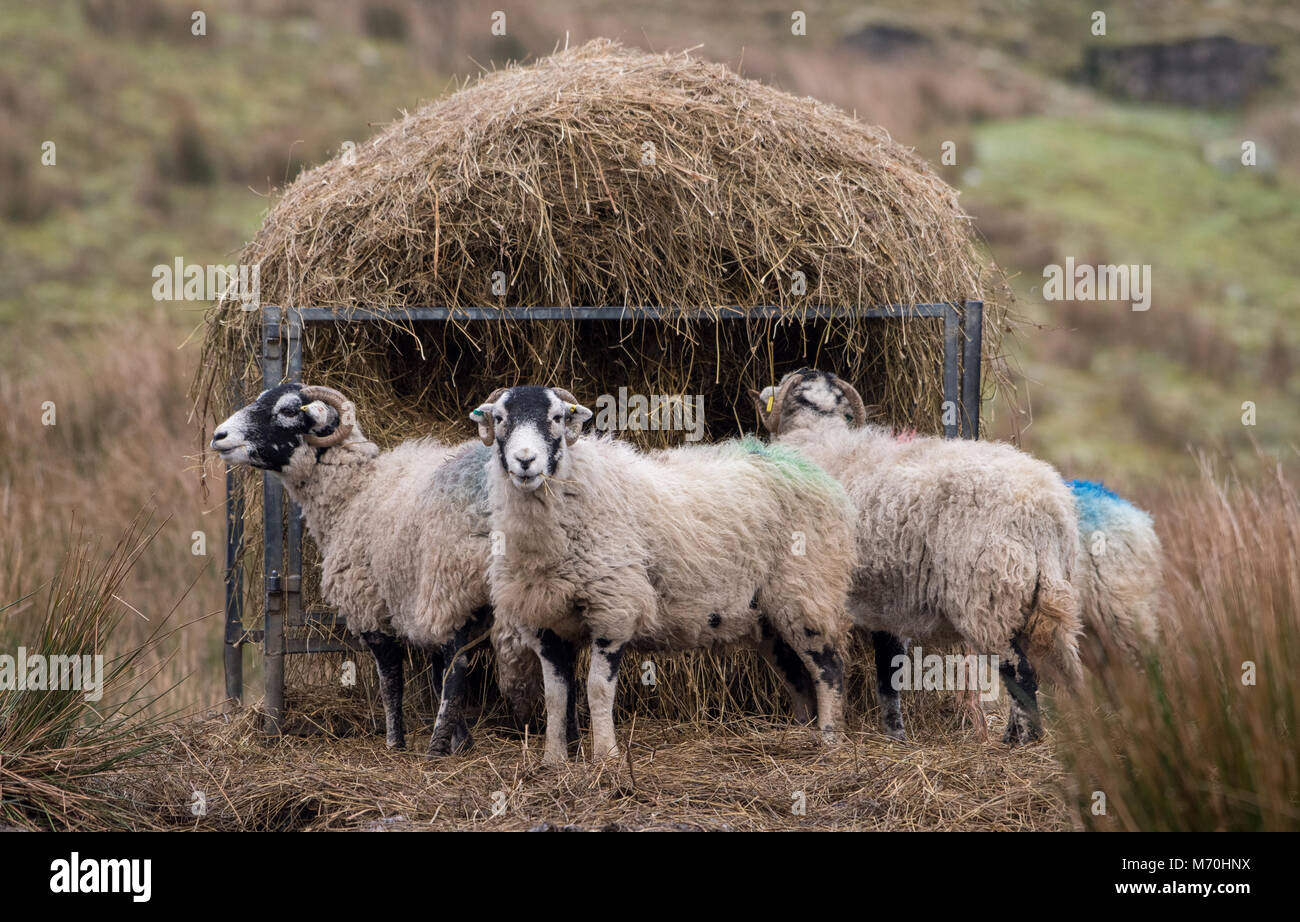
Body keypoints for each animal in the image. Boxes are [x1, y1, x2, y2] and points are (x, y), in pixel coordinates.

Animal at [213, 382, 538, 754]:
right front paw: (463, 742)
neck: (354, 492)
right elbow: (431, 673)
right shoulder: (417, 605)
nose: (219, 435)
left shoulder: (371, 604)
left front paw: (396, 742)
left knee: (456, 668)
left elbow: (392, 680)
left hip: (449, 578)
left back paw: (434, 749)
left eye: (289, 410)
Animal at [473, 382, 857, 764]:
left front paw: (607, 758)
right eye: (500, 418)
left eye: (556, 418)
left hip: (806, 590)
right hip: (768, 618)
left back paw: (829, 740)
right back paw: (800, 736)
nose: (525, 461)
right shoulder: (544, 622)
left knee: (829, 669)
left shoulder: (613, 610)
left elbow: (597, 689)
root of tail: (815, 473)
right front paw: (554, 761)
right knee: (800, 678)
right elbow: (556, 696)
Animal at [748, 366, 1081, 738]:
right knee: (1059, 671)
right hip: (1044, 595)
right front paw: (894, 734)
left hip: (990, 598)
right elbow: (889, 672)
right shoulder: (887, 598)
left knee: (1019, 672)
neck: (820, 436)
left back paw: (1022, 741)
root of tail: (1044, 509)